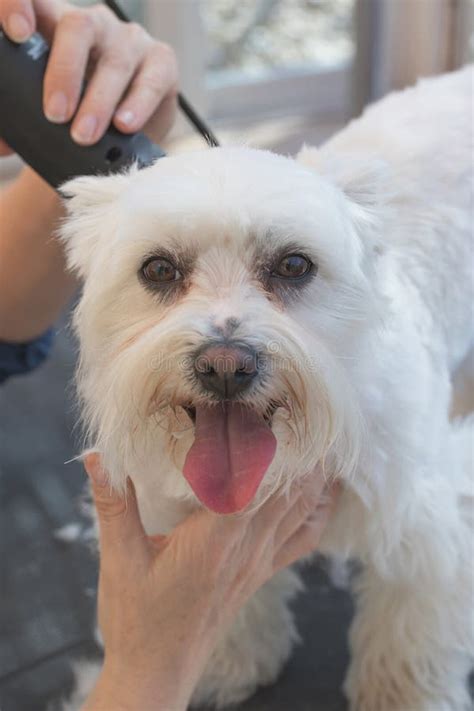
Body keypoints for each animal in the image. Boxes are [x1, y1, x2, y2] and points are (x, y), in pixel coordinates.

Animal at [60, 68, 474, 711]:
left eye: (294, 265)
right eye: (158, 270)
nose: (225, 366)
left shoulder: (425, 519)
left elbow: (411, 631)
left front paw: (403, 696)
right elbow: (228, 605)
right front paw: (229, 662)